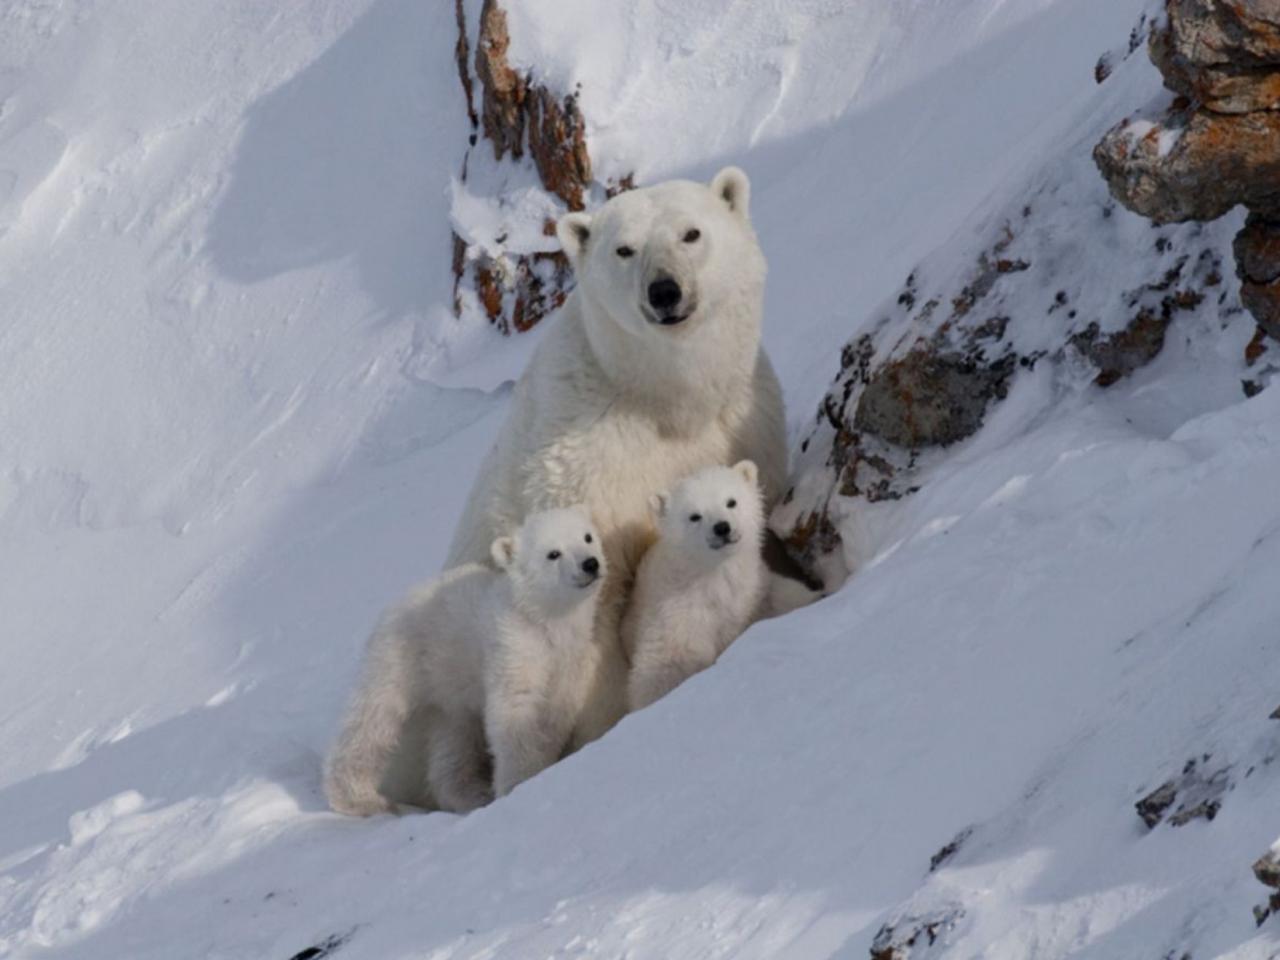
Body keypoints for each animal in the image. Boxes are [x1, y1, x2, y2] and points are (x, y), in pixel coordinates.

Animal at [330, 506, 609, 814]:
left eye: (587, 536)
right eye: (553, 553)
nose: (590, 564)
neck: (541, 618)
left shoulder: (571, 655)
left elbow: (556, 711)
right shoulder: (513, 647)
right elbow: (515, 712)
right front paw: (518, 783)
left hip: (449, 692)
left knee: (453, 745)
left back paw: (471, 794)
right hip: (400, 658)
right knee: (374, 719)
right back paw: (359, 797)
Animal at [624, 463, 762, 711]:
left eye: (731, 501)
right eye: (694, 516)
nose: (722, 527)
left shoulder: (746, 598)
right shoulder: (676, 613)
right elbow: (667, 661)